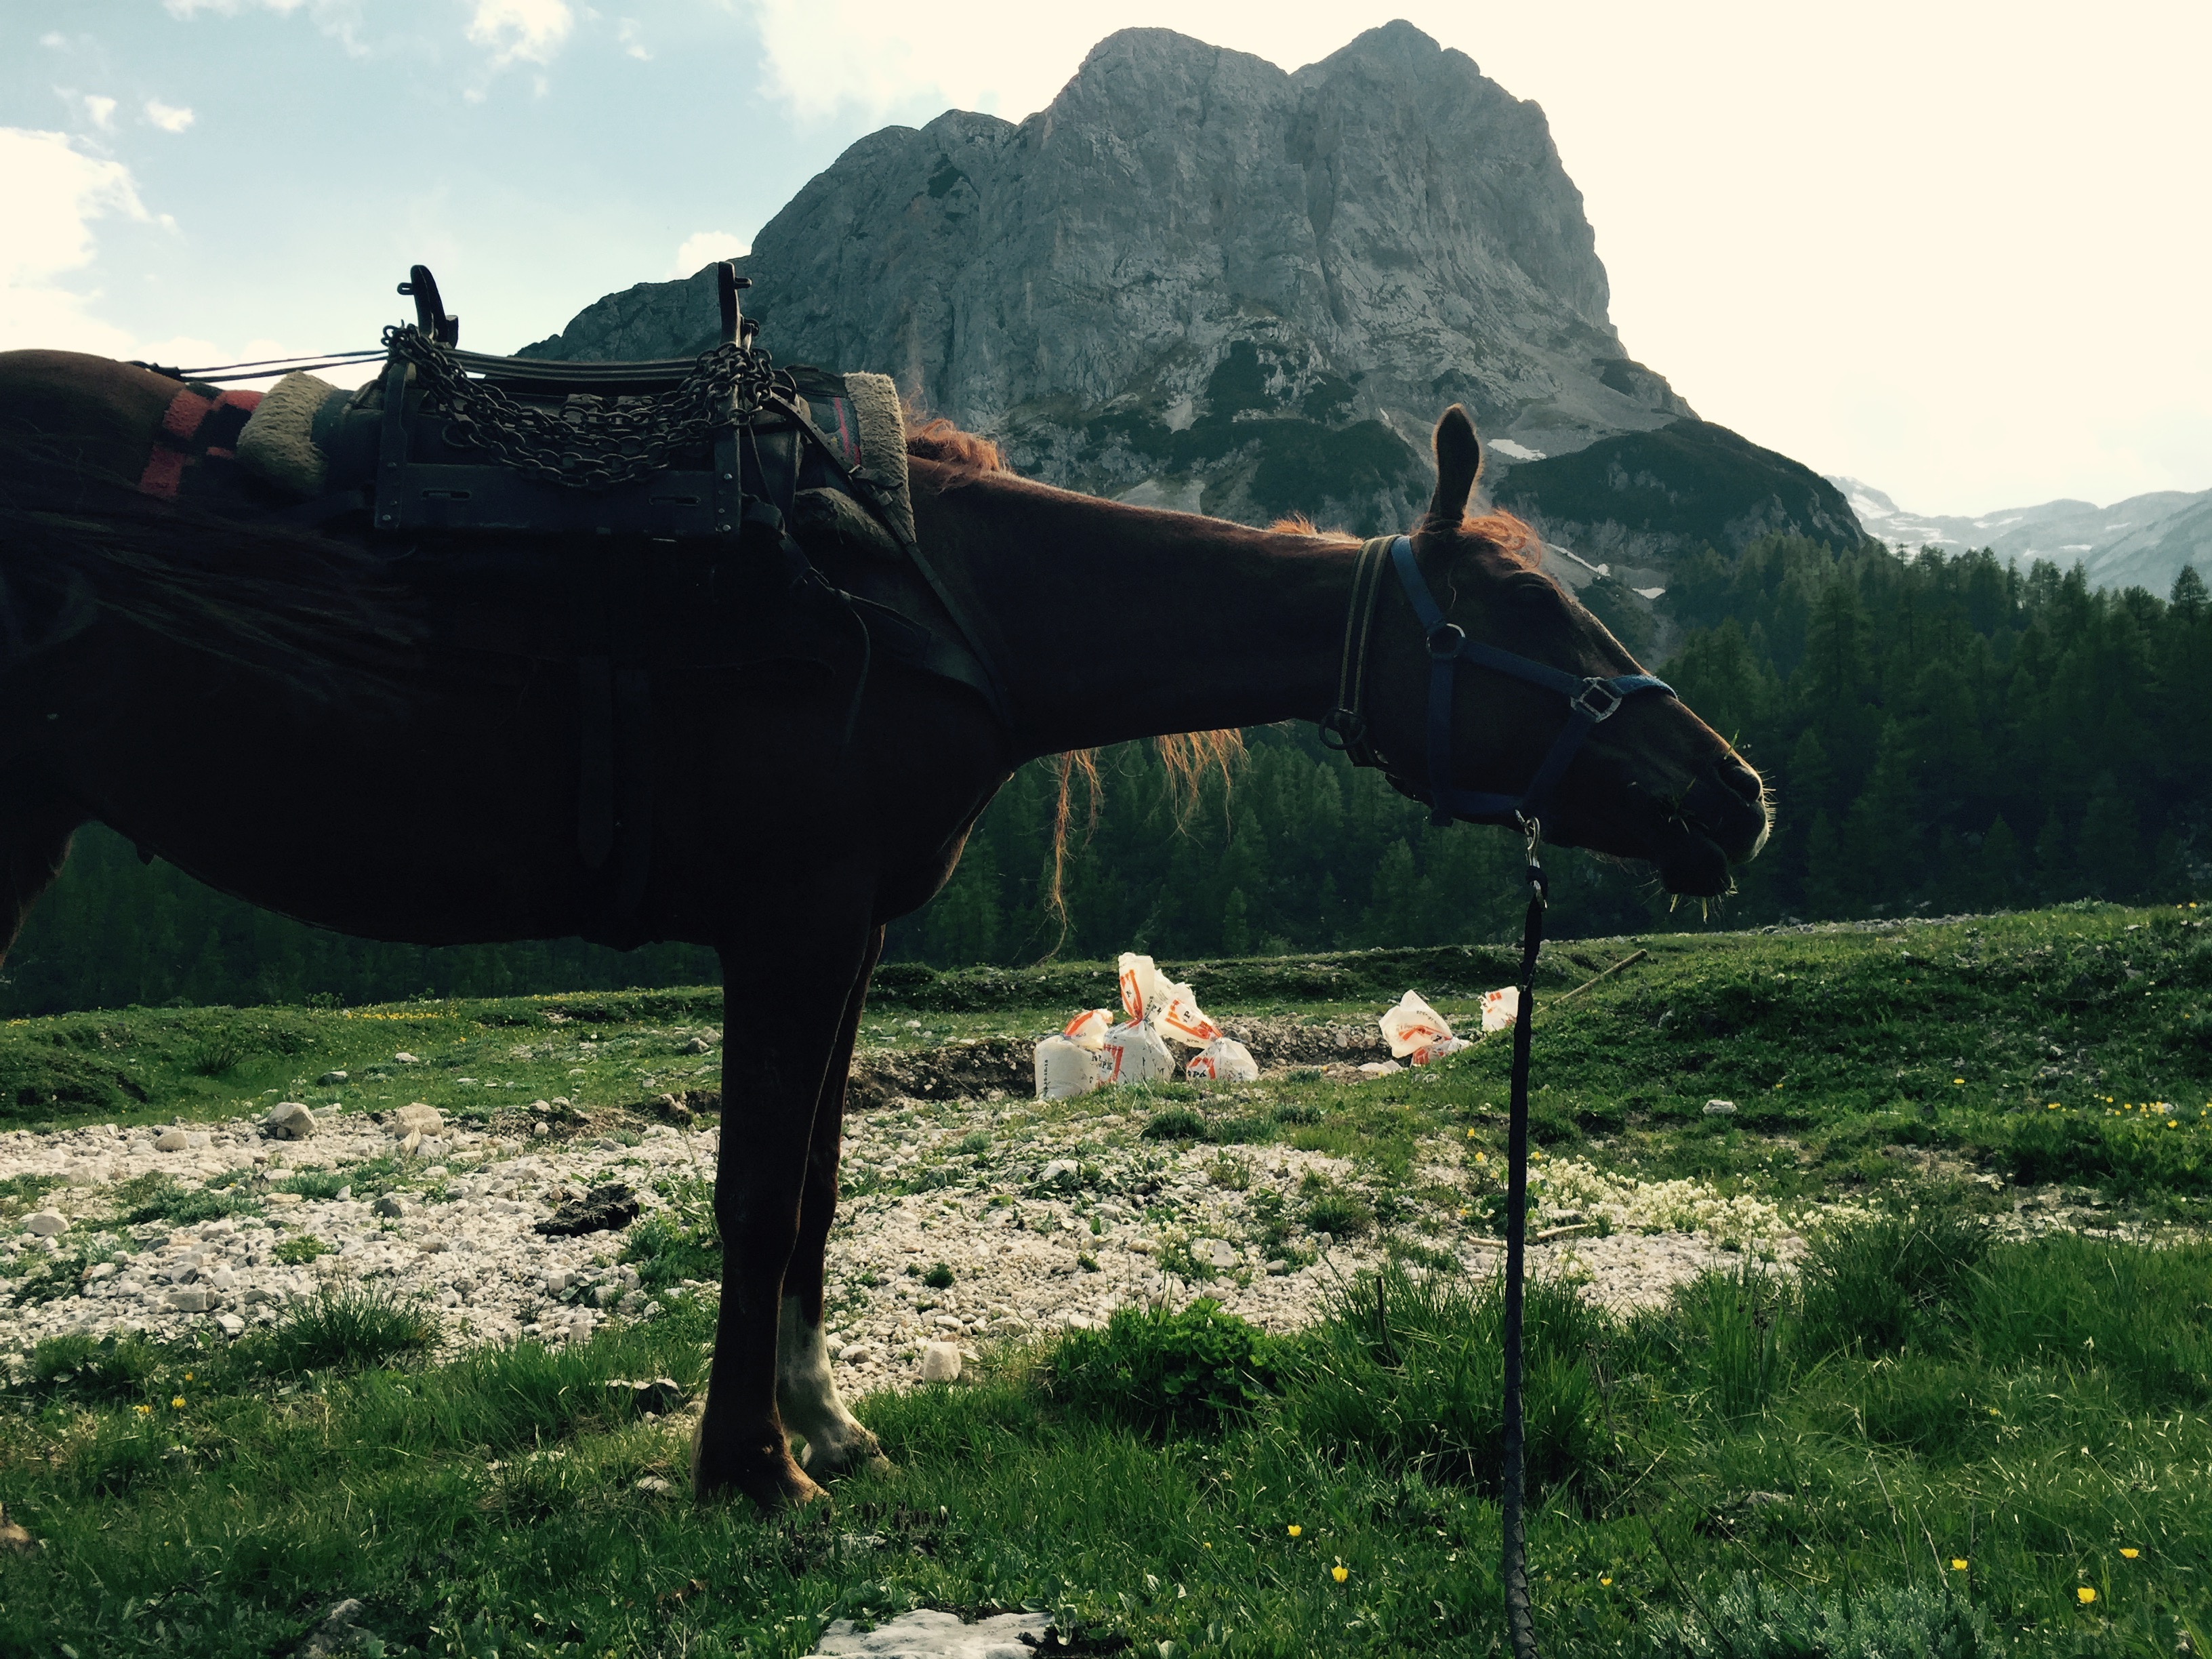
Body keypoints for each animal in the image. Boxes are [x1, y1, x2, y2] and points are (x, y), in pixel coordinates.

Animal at [0, 347, 1761, 1504]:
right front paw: (751, 1469)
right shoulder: (786, 916)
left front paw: (823, 1422)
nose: (1736, 796)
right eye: (1529, 616)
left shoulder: (846, 929)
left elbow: (819, 1192)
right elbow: (755, 1196)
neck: (941, 595)